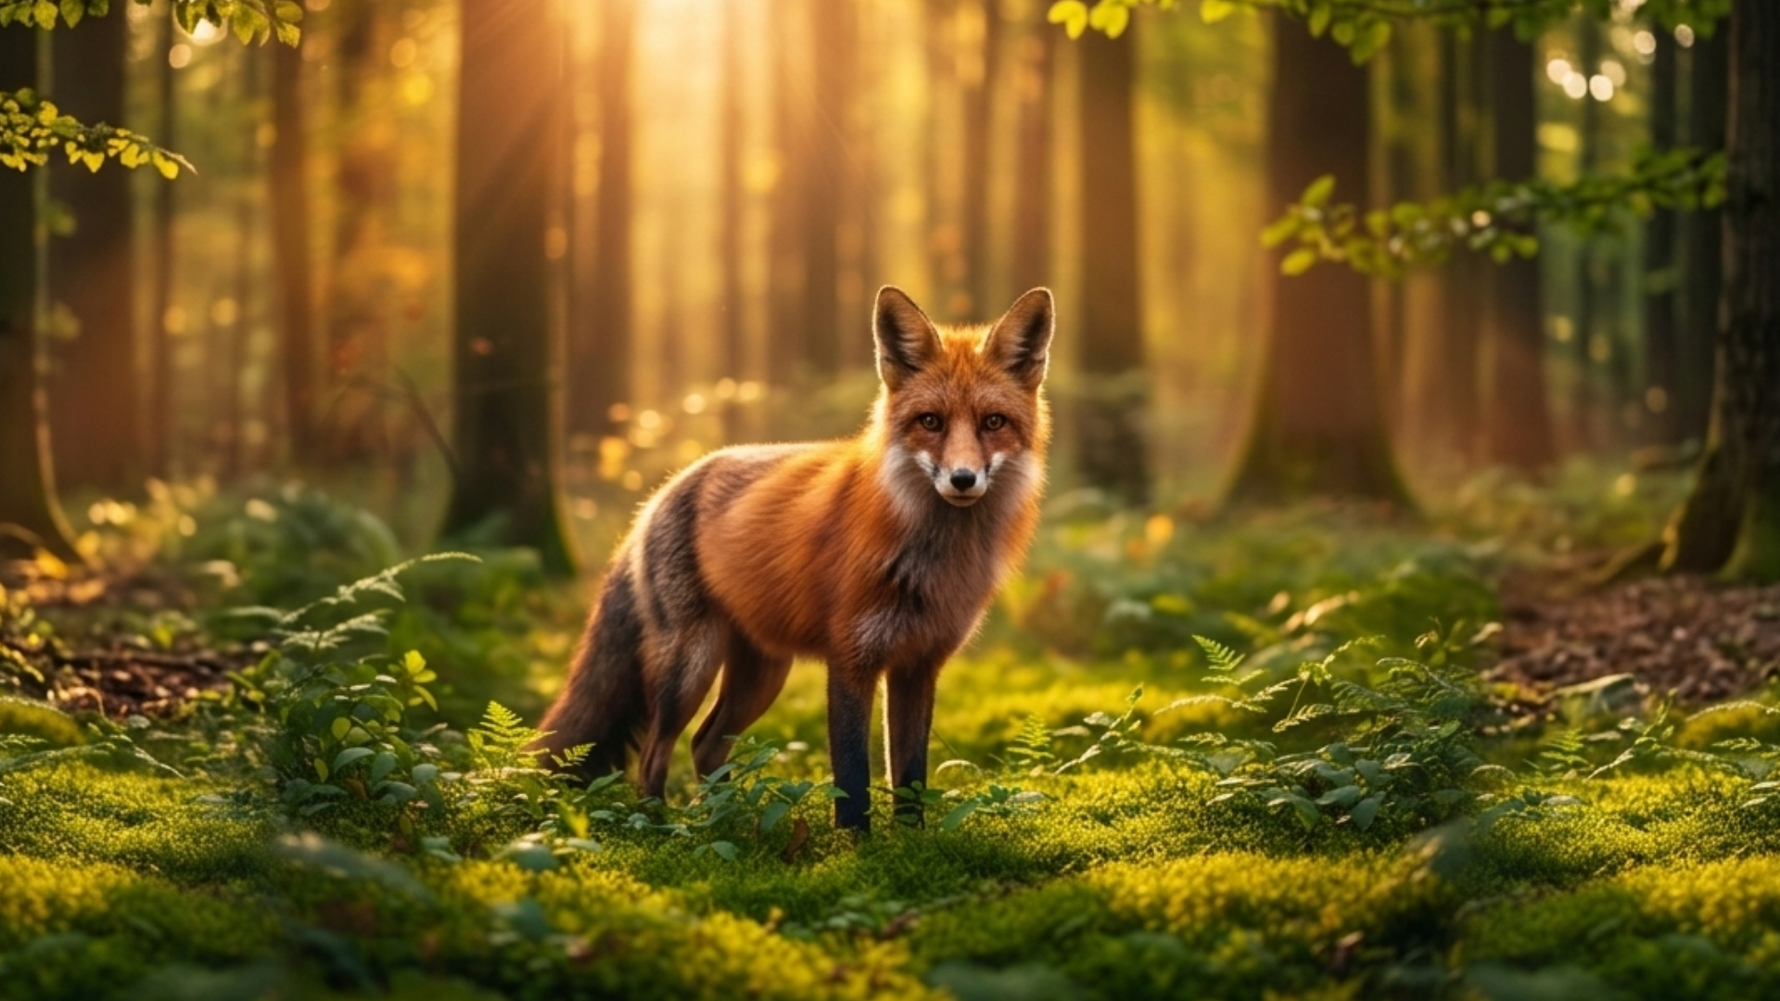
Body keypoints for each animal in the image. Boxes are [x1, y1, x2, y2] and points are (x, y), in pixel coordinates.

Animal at [536, 285, 1054, 831]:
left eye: (993, 422)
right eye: (930, 422)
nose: (962, 479)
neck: (932, 557)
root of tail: (661, 493)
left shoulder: (918, 665)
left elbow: (911, 778)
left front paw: (911, 843)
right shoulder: (850, 659)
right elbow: (852, 776)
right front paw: (858, 847)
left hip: (762, 675)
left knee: (704, 744)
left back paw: (729, 820)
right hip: (690, 667)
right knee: (656, 754)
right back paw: (662, 826)